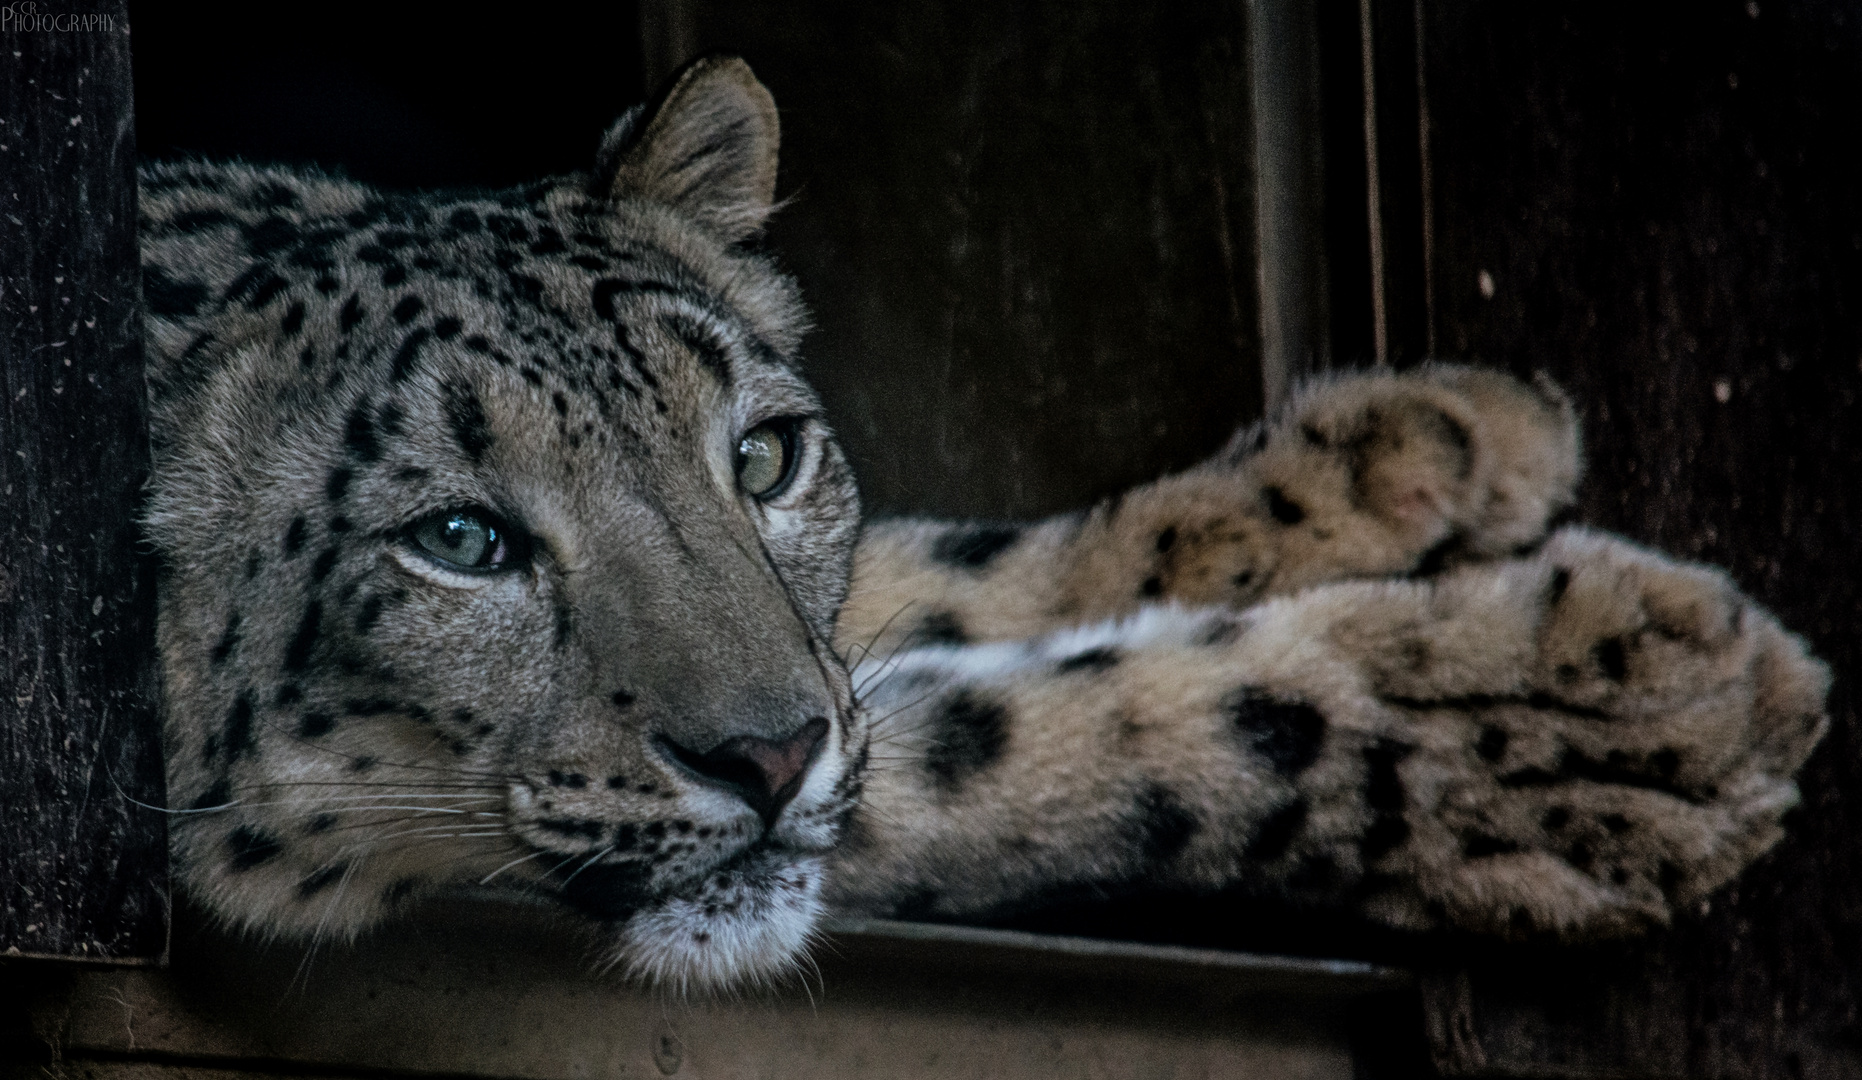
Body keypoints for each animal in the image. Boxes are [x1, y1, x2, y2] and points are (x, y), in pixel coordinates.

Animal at [137, 57, 1824, 990]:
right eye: (460, 540)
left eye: (763, 456)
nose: (770, 755)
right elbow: (978, 740)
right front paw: (1614, 730)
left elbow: (939, 577)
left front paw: (1424, 458)